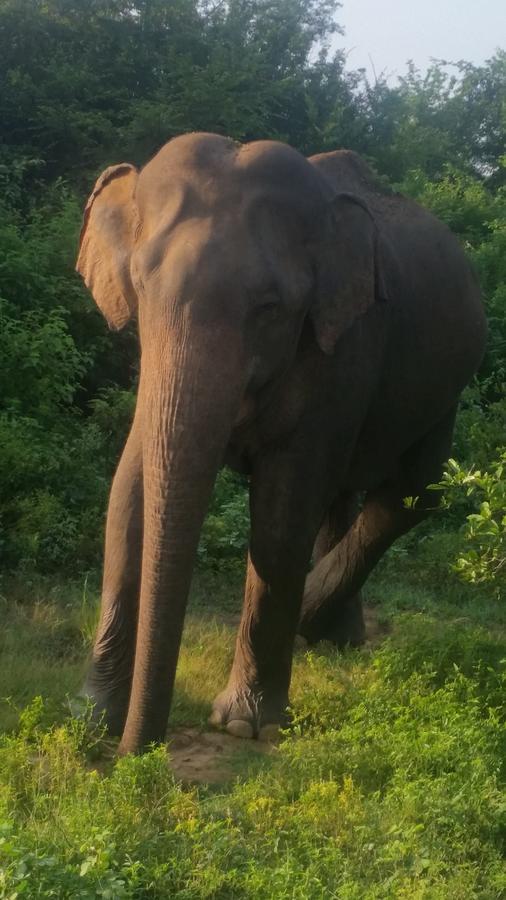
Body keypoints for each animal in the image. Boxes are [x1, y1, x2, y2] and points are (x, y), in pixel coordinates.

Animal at [75, 132, 486, 752]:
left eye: (270, 309)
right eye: (141, 288)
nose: (136, 754)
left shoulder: (344, 346)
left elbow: (281, 514)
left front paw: (246, 725)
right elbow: (128, 495)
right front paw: (91, 716)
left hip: (444, 382)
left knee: (414, 493)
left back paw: (314, 623)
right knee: (349, 493)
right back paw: (333, 638)